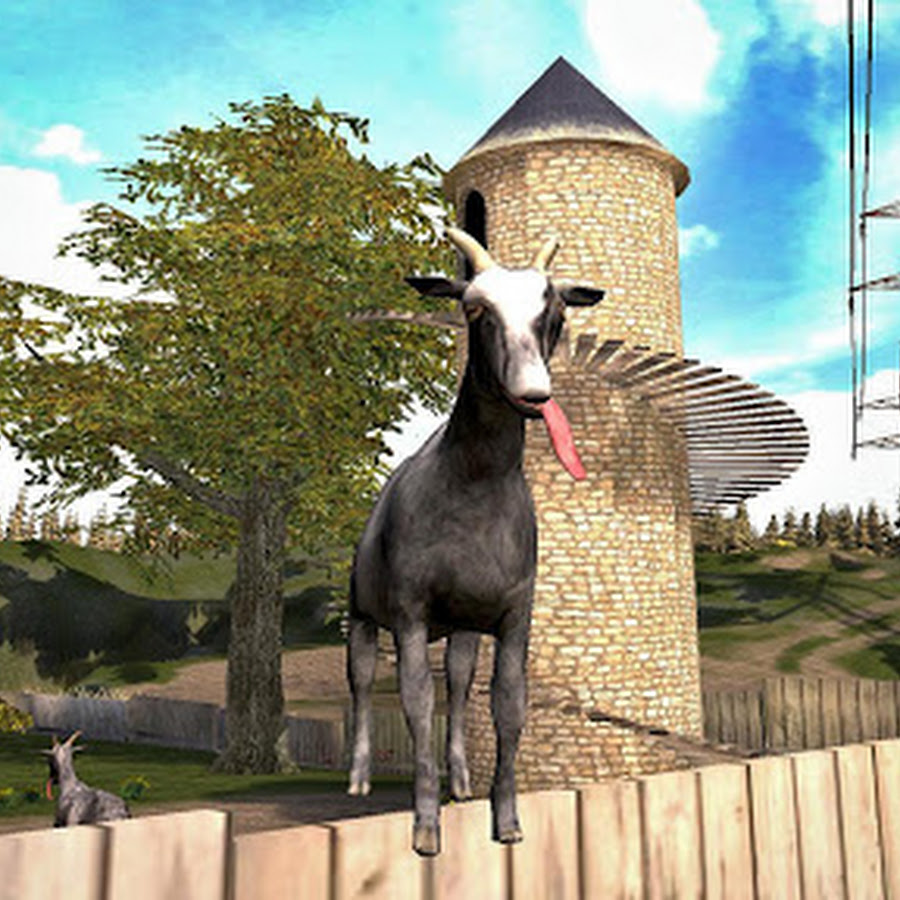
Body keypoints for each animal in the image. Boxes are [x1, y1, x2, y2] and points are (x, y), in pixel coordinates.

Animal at [347, 227, 603, 855]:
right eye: (474, 310)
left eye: (555, 313)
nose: (534, 394)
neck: (473, 487)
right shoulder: (410, 615)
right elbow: (416, 703)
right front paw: (424, 828)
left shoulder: (515, 616)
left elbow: (507, 705)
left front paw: (506, 820)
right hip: (362, 612)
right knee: (361, 684)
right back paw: (360, 778)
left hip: (463, 627)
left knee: (461, 685)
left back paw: (461, 781)